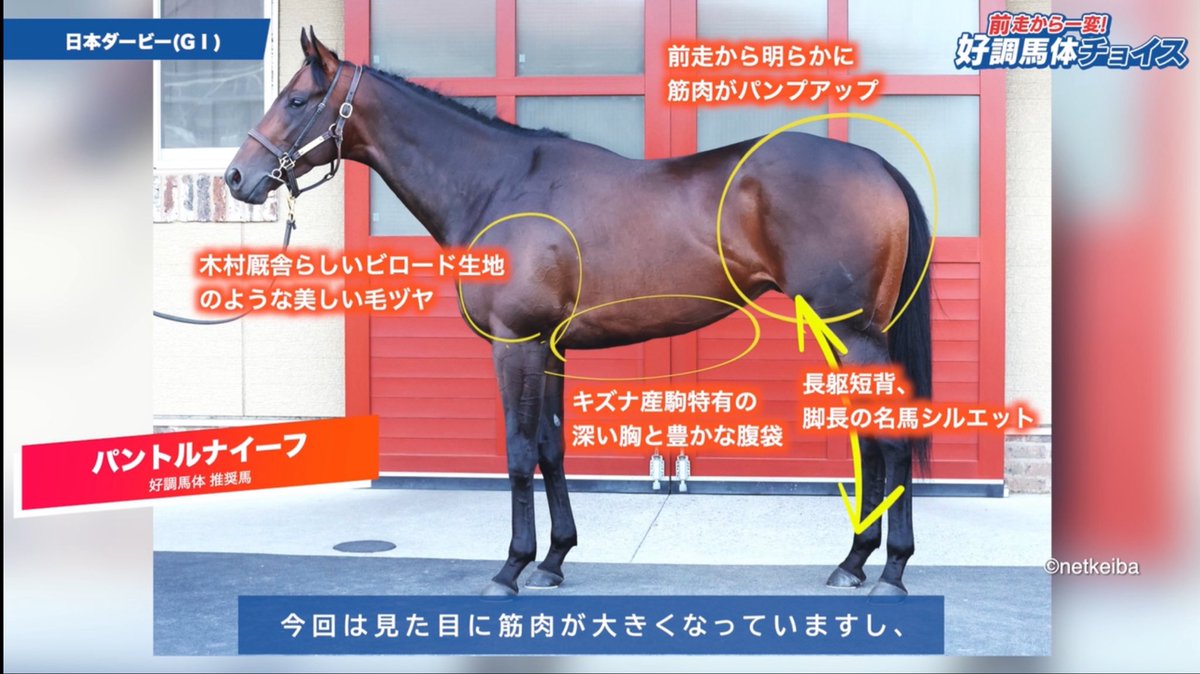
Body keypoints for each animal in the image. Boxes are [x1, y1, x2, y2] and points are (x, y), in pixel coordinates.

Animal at [225, 28, 932, 598]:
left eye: (295, 100)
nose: (236, 178)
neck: (498, 186)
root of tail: (876, 164)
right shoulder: (551, 347)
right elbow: (551, 445)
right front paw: (553, 560)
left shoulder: (516, 343)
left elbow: (517, 451)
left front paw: (510, 568)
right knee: (869, 436)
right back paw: (854, 561)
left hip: (854, 332)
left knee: (890, 437)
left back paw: (891, 570)